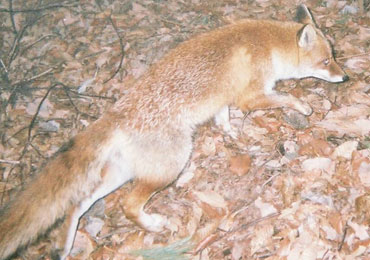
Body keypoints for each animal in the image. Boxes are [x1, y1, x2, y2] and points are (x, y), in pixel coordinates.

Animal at [0, 4, 346, 260]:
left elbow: (223, 120)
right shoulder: (249, 97)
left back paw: (65, 245)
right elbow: (284, 98)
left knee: (77, 203)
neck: (268, 45)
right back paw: (153, 226)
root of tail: (117, 114)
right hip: (171, 164)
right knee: (128, 205)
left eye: (335, 55)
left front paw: (232, 136)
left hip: (120, 174)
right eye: (326, 60)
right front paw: (302, 107)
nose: (345, 77)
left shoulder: (223, 100)